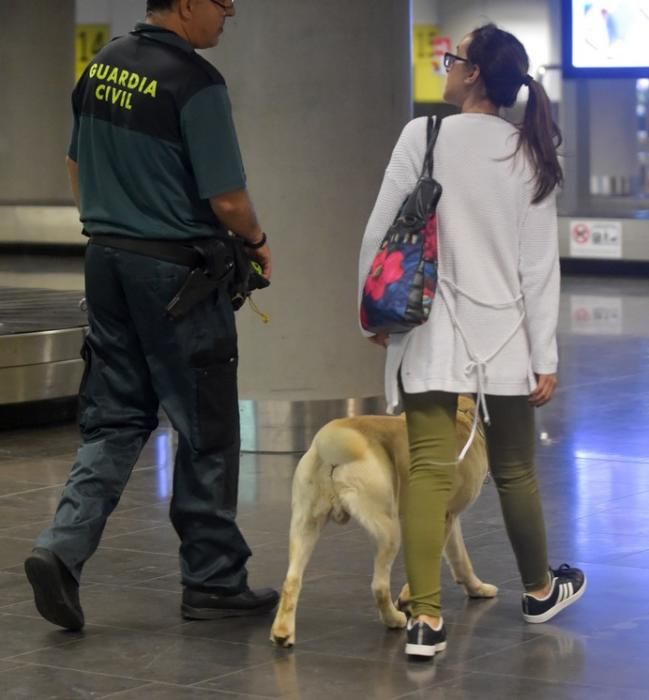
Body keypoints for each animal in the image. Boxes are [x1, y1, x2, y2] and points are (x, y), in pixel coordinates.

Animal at [268, 396, 496, 648]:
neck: (462, 415)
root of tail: (332, 448)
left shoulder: (451, 518)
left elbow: (461, 560)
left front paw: (476, 588)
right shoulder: (443, 518)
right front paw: (408, 598)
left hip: (305, 525)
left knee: (292, 580)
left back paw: (282, 632)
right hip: (390, 531)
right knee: (379, 586)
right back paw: (394, 619)